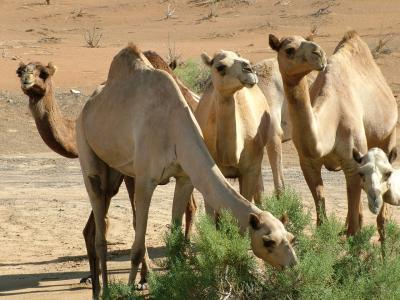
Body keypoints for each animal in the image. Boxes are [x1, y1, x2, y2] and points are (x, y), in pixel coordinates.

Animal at [16, 50, 198, 288]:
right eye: (20, 70)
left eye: (43, 73)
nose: (26, 79)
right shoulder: (116, 175)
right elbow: (96, 226)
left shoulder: (132, 172)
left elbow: (134, 220)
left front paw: (145, 277)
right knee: (191, 205)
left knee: (193, 205)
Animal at [75, 44, 296, 298]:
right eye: (268, 241)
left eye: (291, 237)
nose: (293, 264)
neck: (175, 128)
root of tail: (88, 105)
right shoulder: (145, 179)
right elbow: (137, 248)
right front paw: (131, 289)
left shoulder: (184, 178)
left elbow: (175, 239)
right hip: (85, 145)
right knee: (98, 221)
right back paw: (103, 292)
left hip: (116, 170)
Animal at [270, 29, 398, 238]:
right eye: (289, 49)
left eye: (307, 41)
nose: (318, 53)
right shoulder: (308, 163)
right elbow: (321, 215)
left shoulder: (352, 161)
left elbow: (354, 225)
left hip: (390, 132)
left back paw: (383, 229)